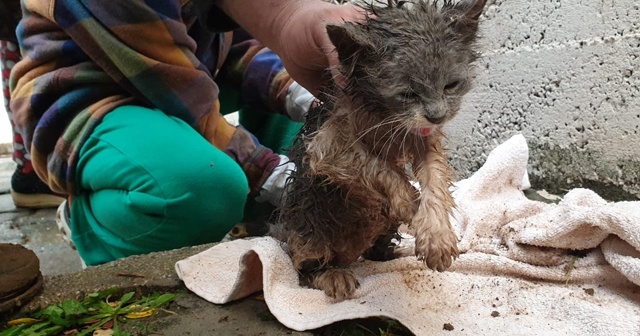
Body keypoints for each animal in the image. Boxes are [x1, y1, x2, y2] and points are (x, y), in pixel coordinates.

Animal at [276, 0, 484, 300]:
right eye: (408, 94)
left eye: (451, 85)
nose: (437, 116)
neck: (385, 115)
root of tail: (349, 255)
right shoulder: (325, 146)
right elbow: (375, 164)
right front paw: (409, 200)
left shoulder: (424, 139)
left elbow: (435, 179)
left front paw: (436, 236)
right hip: (308, 227)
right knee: (306, 268)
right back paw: (332, 274)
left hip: (383, 227)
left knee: (378, 250)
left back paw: (395, 251)